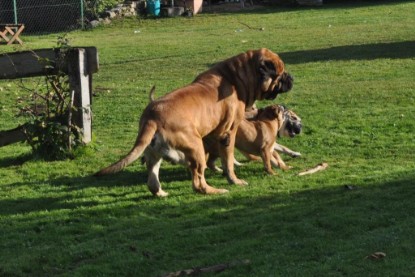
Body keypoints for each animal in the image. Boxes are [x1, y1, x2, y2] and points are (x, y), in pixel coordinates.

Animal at [96, 49, 294, 196]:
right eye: (281, 73)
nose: (291, 78)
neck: (237, 78)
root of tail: (152, 117)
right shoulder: (227, 134)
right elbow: (229, 162)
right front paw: (234, 180)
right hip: (196, 147)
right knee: (198, 182)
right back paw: (216, 190)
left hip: (154, 153)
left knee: (153, 179)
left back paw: (161, 192)